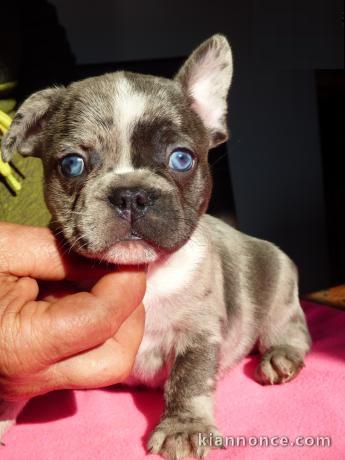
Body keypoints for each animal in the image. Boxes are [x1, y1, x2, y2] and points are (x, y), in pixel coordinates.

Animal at [0, 34, 312, 458]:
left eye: (181, 159)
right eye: (72, 165)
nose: (131, 194)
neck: (150, 272)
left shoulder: (198, 334)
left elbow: (189, 380)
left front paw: (184, 426)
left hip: (278, 285)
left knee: (292, 330)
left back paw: (281, 356)